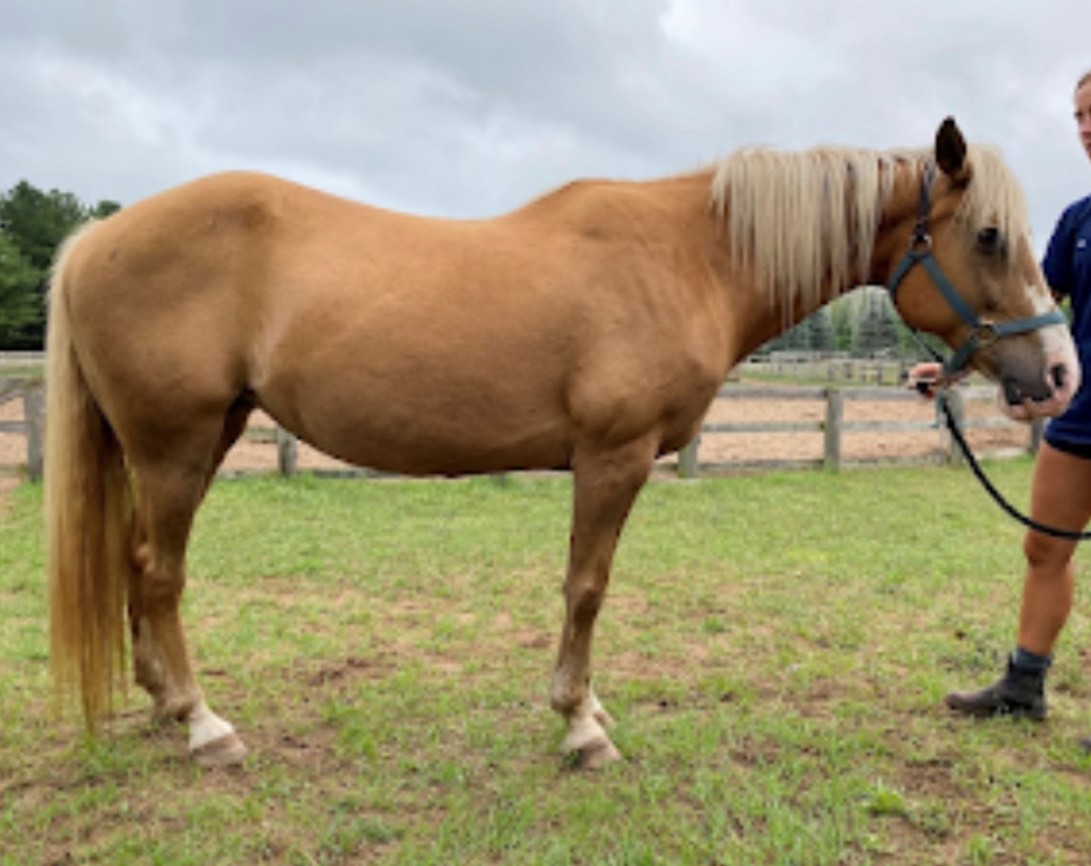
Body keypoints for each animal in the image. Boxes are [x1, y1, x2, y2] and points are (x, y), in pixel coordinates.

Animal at [45, 117, 1078, 769]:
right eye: (989, 234)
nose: (1061, 374)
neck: (687, 257)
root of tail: (97, 237)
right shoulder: (610, 458)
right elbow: (587, 587)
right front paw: (581, 725)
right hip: (176, 443)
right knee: (159, 572)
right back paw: (203, 725)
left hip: (198, 439)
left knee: (138, 566)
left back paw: (162, 704)